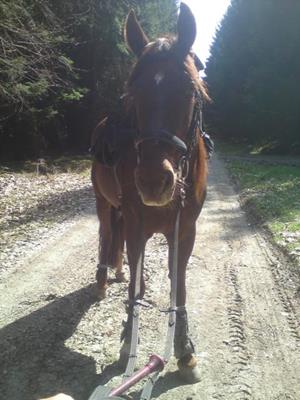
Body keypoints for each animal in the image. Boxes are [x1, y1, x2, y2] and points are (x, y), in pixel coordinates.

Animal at [91, 3, 209, 384]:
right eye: (134, 95)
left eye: (189, 91)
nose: (154, 182)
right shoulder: (137, 224)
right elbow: (136, 288)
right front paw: (127, 340)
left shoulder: (184, 231)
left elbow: (178, 286)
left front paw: (184, 351)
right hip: (104, 204)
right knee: (107, 235)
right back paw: (103, 279)